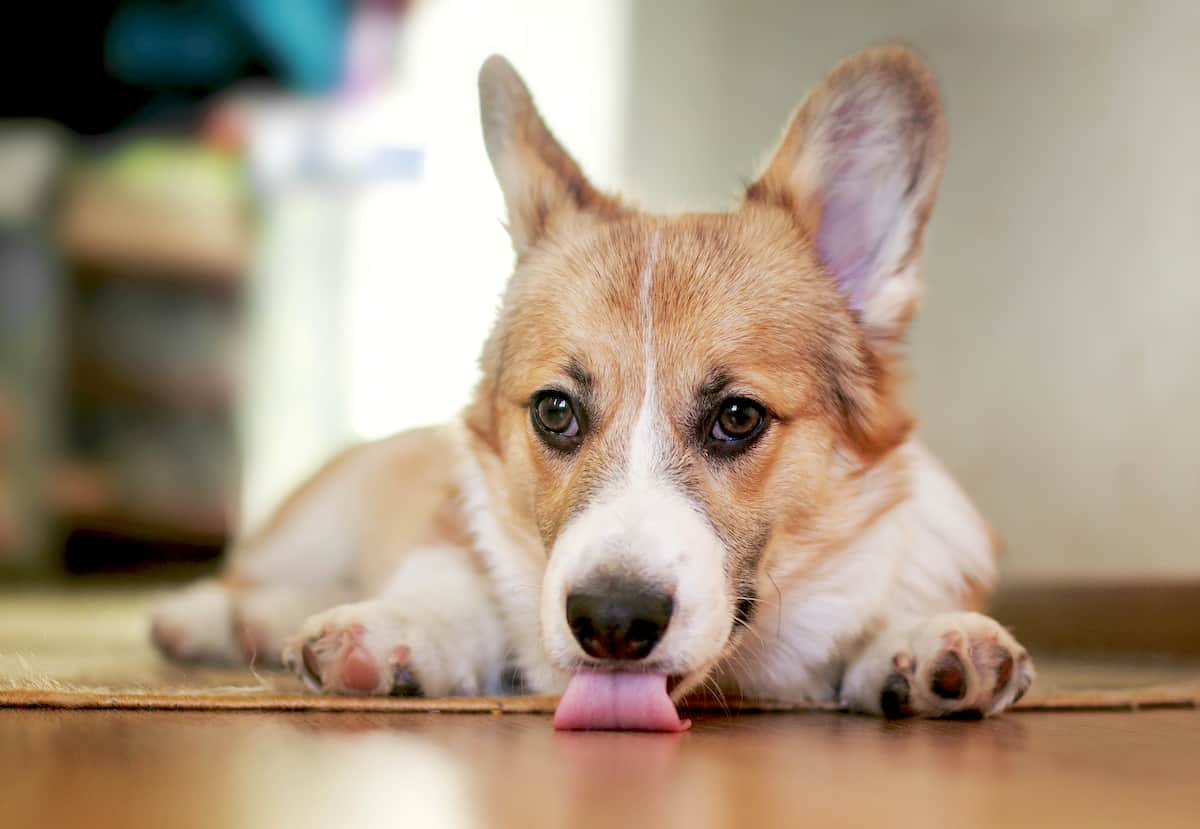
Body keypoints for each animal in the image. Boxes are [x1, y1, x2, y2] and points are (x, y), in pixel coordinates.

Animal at [150, 48, 1032, 729]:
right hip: (317, 525)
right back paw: (204, 617)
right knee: (251, 575)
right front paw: (398, 628)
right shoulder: (454, 530)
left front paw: (927, 639)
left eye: (738, 417)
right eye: (555, 411)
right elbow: (450, 582)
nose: (611, 622)